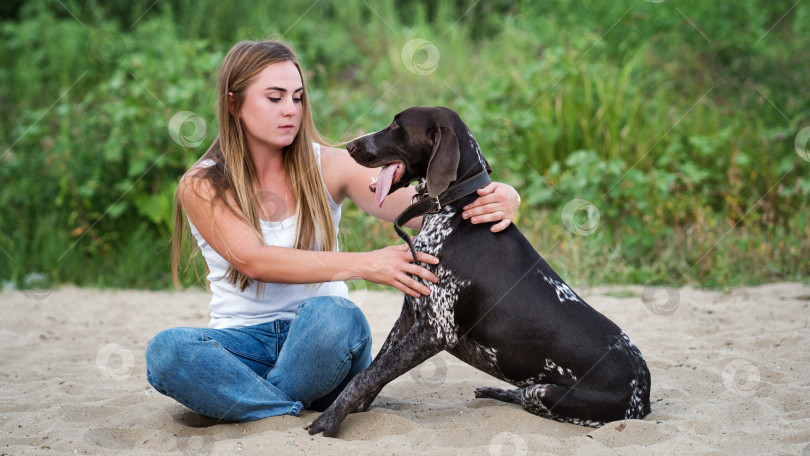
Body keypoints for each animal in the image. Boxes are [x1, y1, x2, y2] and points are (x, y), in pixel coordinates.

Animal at [304, 107, 652, 438]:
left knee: (528, 397)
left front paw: (331, 420)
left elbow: (364, 376)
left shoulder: (434, 331)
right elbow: (375, 370)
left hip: (546, 393)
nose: (349, 146)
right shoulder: (409, 316)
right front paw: (354, 408)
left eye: (397, 125)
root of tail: (644, 396)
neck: (452, 209)